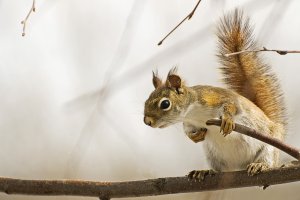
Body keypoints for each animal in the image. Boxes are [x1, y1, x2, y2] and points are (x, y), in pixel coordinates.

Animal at [143, 9, 286, 178]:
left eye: (165, 103)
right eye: (146, 101)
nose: (147, 121)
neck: (193, 113)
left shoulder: (215, 98)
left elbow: (232, 106)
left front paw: (228, 120)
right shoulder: (189, 122)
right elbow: (188, 130)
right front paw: (194, 137)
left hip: (269, 148)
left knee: (267, 159)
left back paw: (259, 165)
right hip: (213, 156)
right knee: (220, 169)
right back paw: (204, 171)